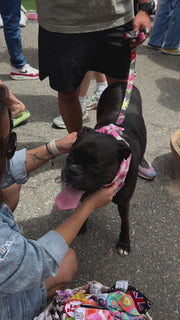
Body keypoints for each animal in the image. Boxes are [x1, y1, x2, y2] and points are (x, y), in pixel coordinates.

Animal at [62, 82, 146, 255]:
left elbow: (125, 223)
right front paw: (81, 226)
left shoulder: (124, 203)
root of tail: (121, 83)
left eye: (96, 166)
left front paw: (124, 243)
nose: (73, 171)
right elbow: (83, 209)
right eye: (71, 155)